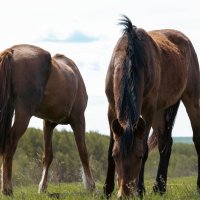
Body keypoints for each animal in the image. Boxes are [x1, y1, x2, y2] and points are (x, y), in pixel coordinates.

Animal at [0, 44, 95, 195]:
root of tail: (11, 52)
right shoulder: (79, 119)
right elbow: (83, 153)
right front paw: (91, 185)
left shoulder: (48, 123)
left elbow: (48, 156)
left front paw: (42, 187)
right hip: (24, 114)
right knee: (10, 143)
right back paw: (7, 188)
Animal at [104, 16, 199, 198]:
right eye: (115, 155)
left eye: (139, 157)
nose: (125, 193)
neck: (130, 56)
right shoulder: (112, 109)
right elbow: (109, 146)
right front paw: (106, 190)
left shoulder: (147, 110)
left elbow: (146, 147)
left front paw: (140, 190)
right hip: (161, 111)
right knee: (165, 143)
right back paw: (159, 188)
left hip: (191, 99)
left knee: (196, 139)